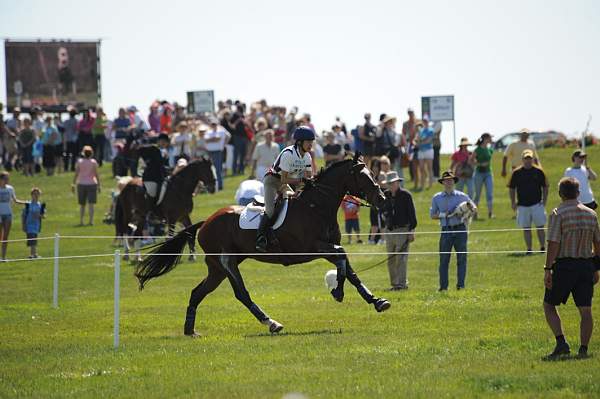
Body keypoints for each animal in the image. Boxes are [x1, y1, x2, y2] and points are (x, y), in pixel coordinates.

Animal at [135, 155, 390, 336]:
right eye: (364, 177)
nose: (382, 199)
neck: (316, 207)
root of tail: (206, 221)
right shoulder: (313, 247)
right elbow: (341, 257)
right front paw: (337, 291)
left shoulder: (327, 246)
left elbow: (348, 267)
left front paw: (376, 301)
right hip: (226, 261)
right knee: (241, 293)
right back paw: (271, 323)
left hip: (217, 268)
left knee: (197, 292)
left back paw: (190, 330)